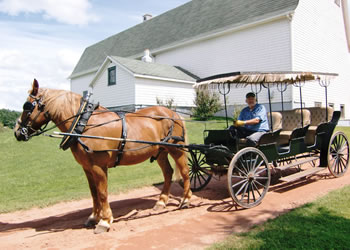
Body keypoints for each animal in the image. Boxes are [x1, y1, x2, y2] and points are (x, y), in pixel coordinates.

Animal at [14, 79, 191, 233]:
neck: (85, 124)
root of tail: (173, 113)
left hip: (177, 150)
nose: (17, 132)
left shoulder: (99, 166)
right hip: (161, 152)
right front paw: (94, 217)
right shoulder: (87, 168)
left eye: (27, 106)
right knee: (168, 173)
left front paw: (104, 221)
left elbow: (103, 192)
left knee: (184, 171)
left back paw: (186, 200)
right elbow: (94, 193)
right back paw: (161, 202)